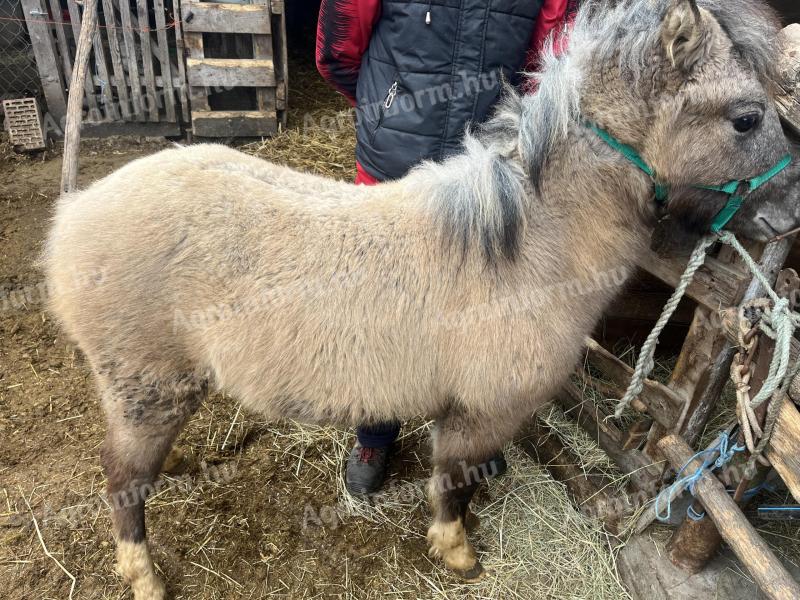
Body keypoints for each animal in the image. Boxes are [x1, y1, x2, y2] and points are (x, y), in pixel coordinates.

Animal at [42, 0, 800, 592]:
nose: (790, 215)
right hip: (144, 389)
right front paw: (458, 554)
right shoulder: (482, 412)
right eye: (745, 117)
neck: (524, 248)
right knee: (122, 481)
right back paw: (144, 576)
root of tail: (74, 213)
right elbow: (451, 484)